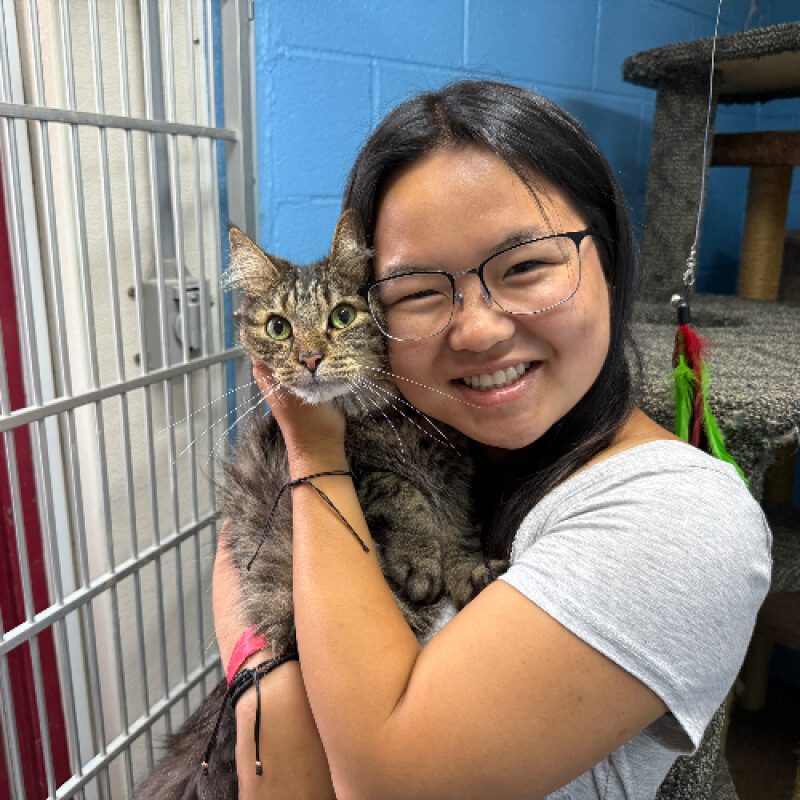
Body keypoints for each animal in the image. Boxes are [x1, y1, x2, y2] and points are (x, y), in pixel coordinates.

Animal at [131, 209, 504, 800]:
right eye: (278, 328)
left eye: (342, 316)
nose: (308, 358)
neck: (389, 422)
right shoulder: (369, 474)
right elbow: (405, 498)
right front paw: (422, 566)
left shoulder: (455, 471)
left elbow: (455, 528)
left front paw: (465, 571)